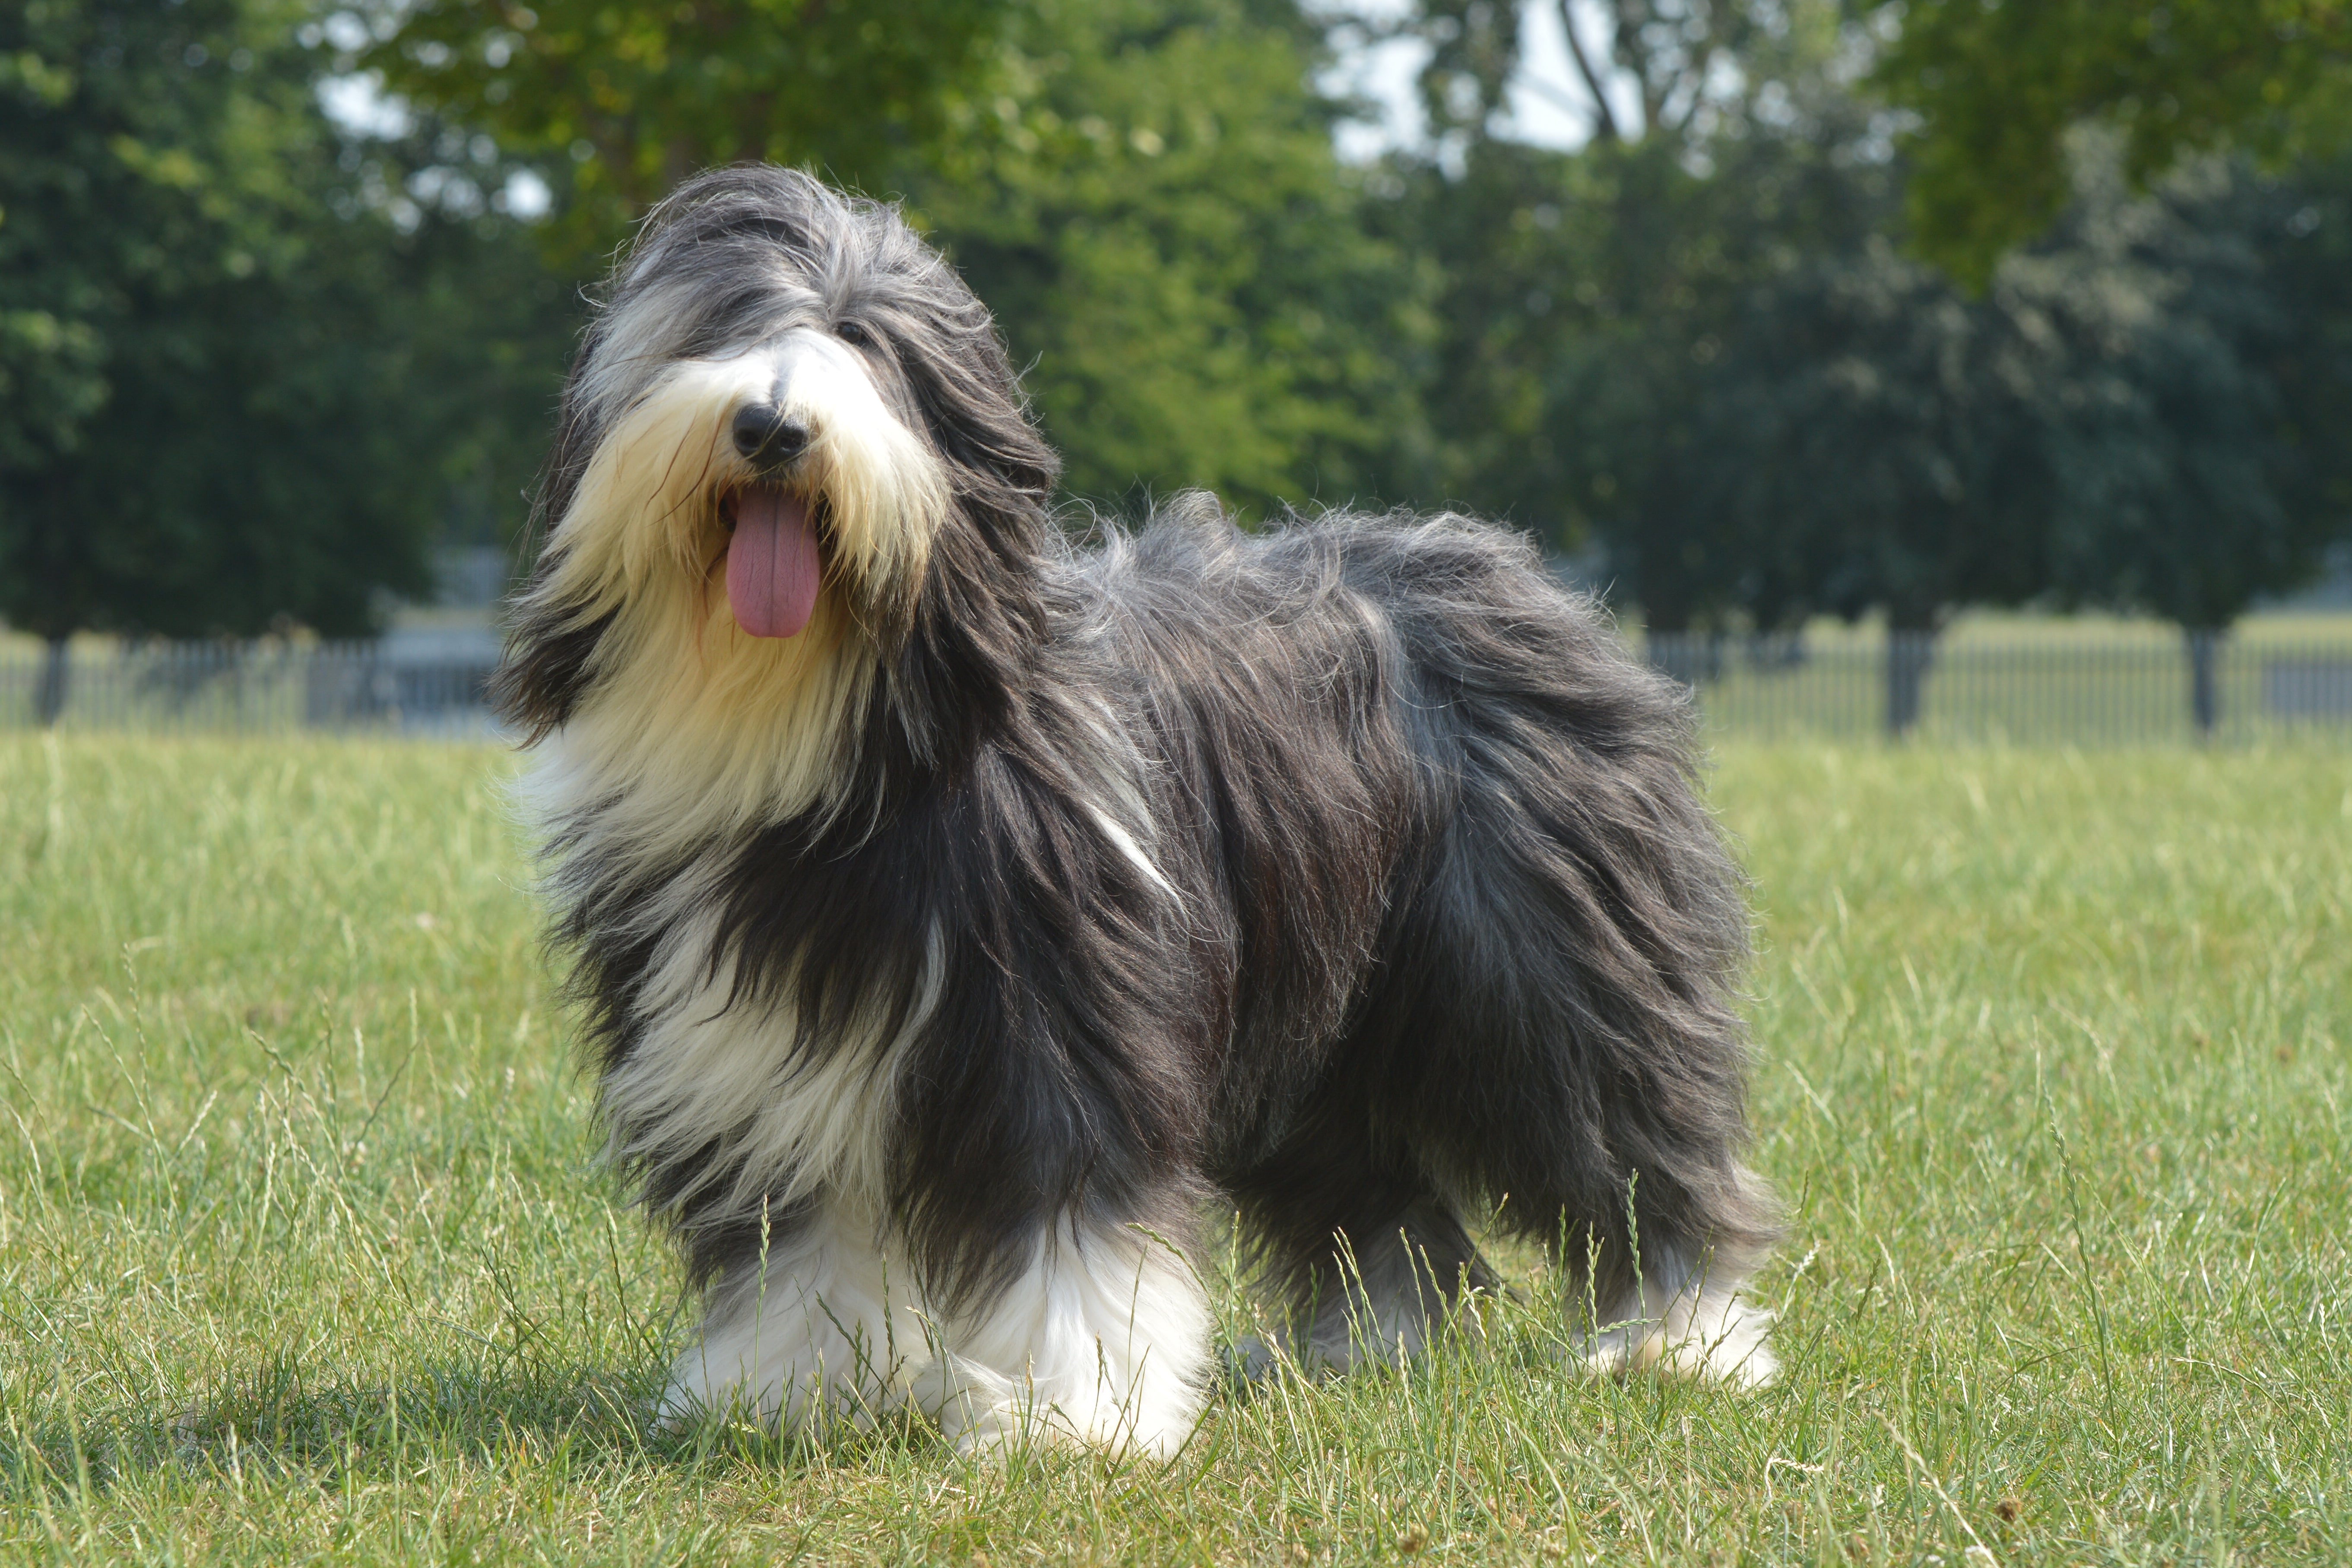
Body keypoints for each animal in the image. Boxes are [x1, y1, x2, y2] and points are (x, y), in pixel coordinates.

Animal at [501, 165, 1778, 1457]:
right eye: (721, 326)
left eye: (866, 343)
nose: (771, 428)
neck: (843, 746)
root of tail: (1515, 574)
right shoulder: (754, 1047)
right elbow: (797, 1232)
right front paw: (789, 1389)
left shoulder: (1061, 1019)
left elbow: (1075, 1222)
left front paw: (1077, 1413)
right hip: (1318, 1007)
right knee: (1373, 1188)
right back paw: (1368, 1342)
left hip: (1541, 967)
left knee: (1627, 1138)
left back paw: (1684, 1335)